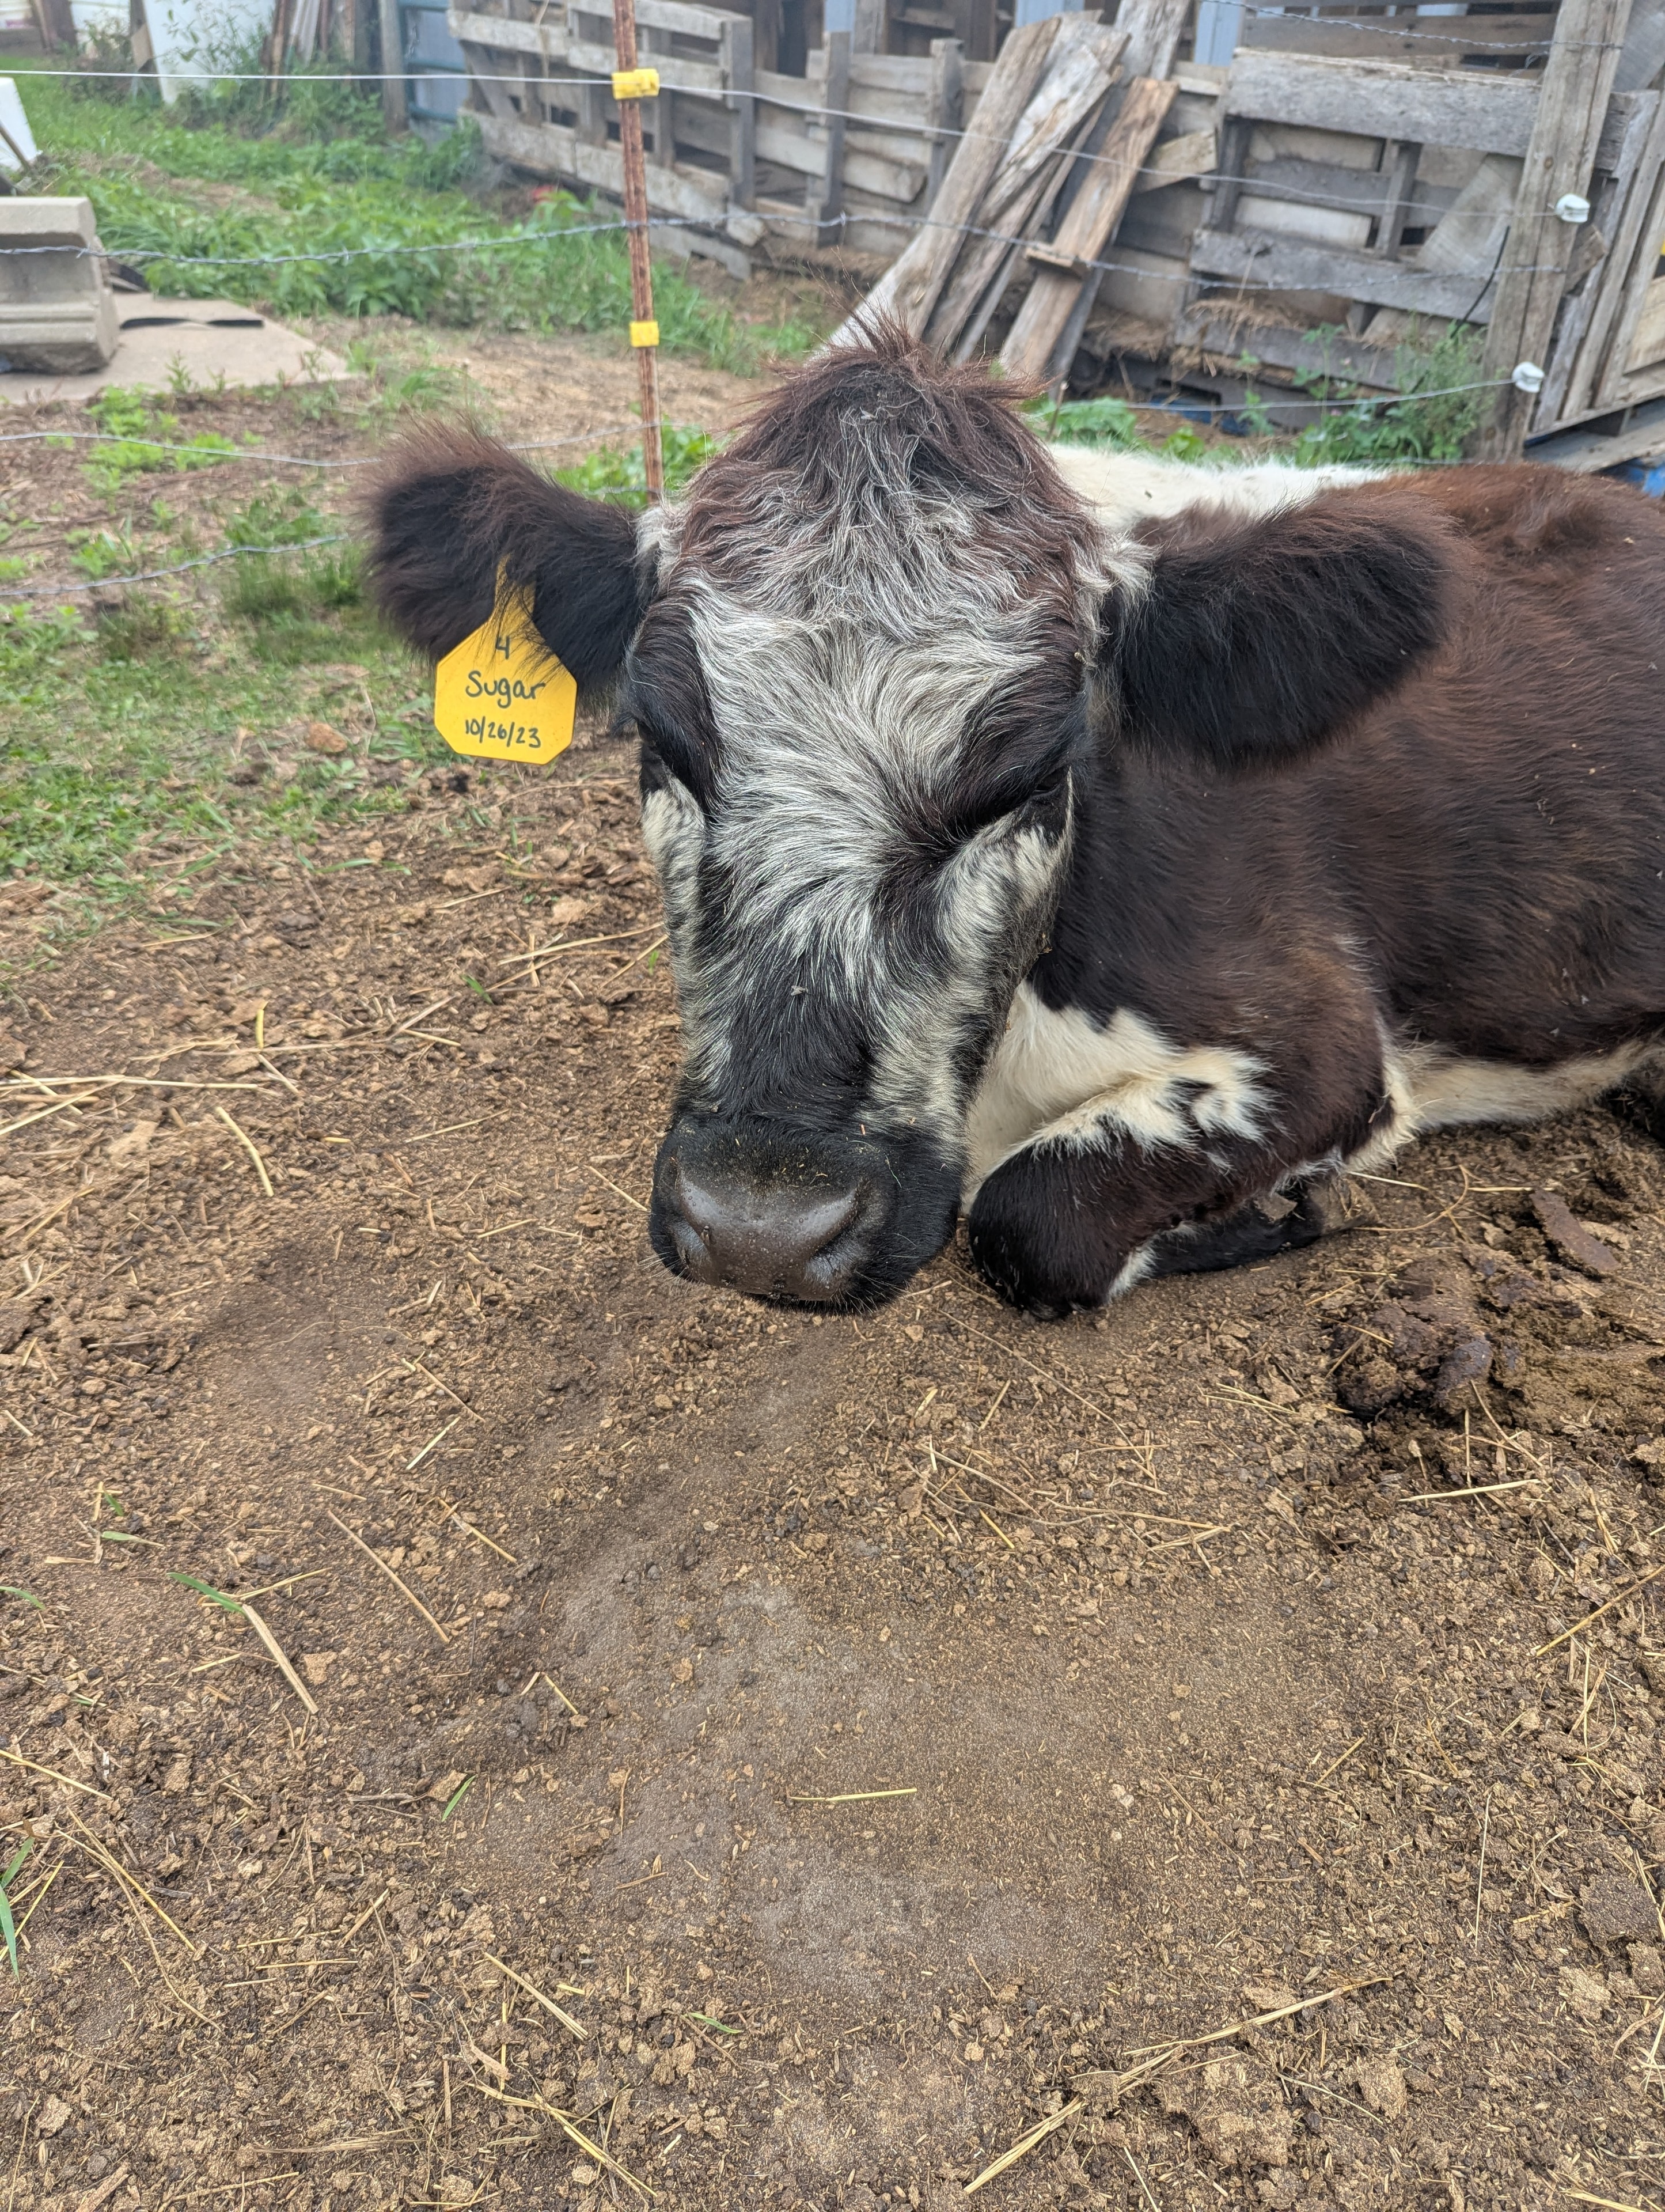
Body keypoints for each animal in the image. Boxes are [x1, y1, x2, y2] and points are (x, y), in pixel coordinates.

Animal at [366, 326, 1665, 1319]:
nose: (762, 1228)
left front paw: (1286, 1209)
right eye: (663, 741)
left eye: (1032, 772)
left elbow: (1029, 1220)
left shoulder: (1325, 1045)